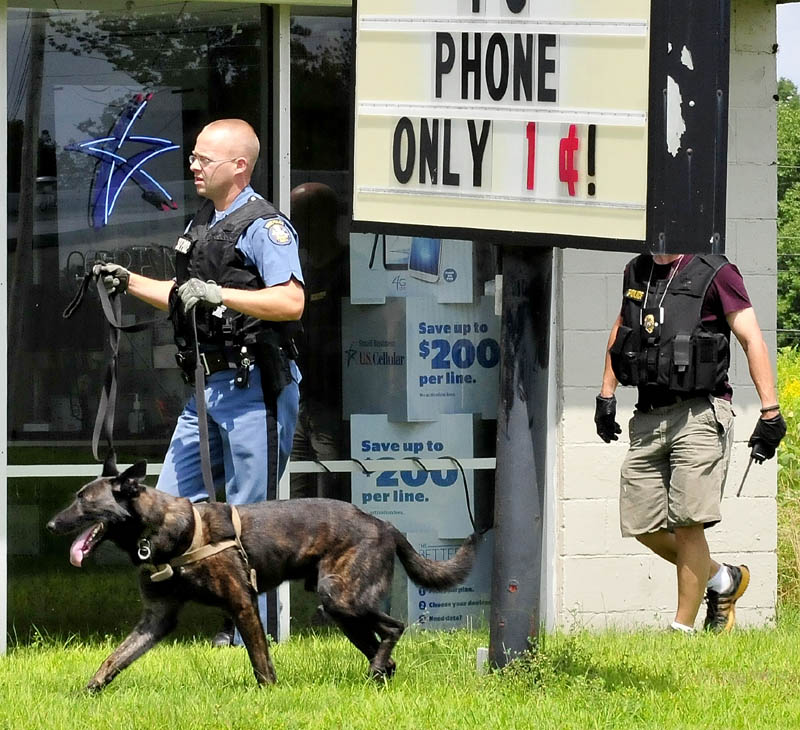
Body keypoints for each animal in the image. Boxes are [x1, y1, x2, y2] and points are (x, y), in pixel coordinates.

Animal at [45, 452, 476, 692]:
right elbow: (114, 659)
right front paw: (87, 692)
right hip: (343, 612)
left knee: (394, 628)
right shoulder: (156, 619)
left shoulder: (242, 603)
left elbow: (259, 659)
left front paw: (269, 693)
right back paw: (377, 677)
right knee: (385, 650)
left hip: (342, 598)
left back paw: (374, 672)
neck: (165, 530)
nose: (50, 525)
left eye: (84, 502)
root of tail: (385, 525)